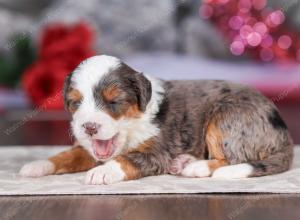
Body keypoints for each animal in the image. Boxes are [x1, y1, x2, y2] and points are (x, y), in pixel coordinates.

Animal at [19, 54, 294, 184]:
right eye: (75, 102)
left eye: (114, 102)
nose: (89, 127)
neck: (131, 128)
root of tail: (284, 136)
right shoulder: (89, 147)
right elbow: (66, 155)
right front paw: (36, 165)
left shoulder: (157, 151)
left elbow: (126, 159)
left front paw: (103, 172)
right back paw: (184, 161)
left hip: (226, 117)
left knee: (233, 157)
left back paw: (194, 167)